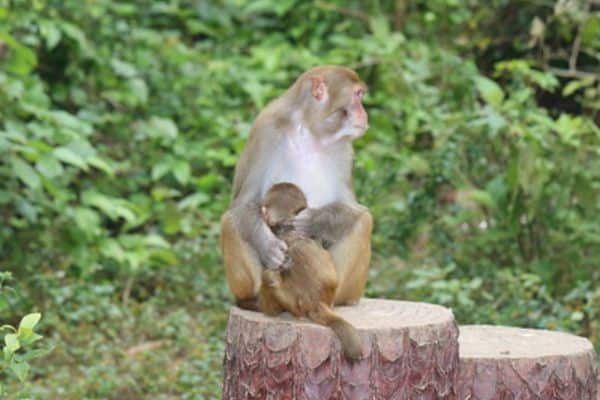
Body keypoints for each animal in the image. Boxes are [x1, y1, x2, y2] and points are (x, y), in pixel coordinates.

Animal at [220, 65, 370, 306]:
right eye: (358, 95)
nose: (364, 113)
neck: (310, 131)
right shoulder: (265, 128)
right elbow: (242, 203)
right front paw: (268, 246)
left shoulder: (344, 148)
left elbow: (353, 207)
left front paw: (315, 220)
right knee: (230, 220)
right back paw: (252, 299)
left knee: (363, 221)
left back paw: (339, 300)